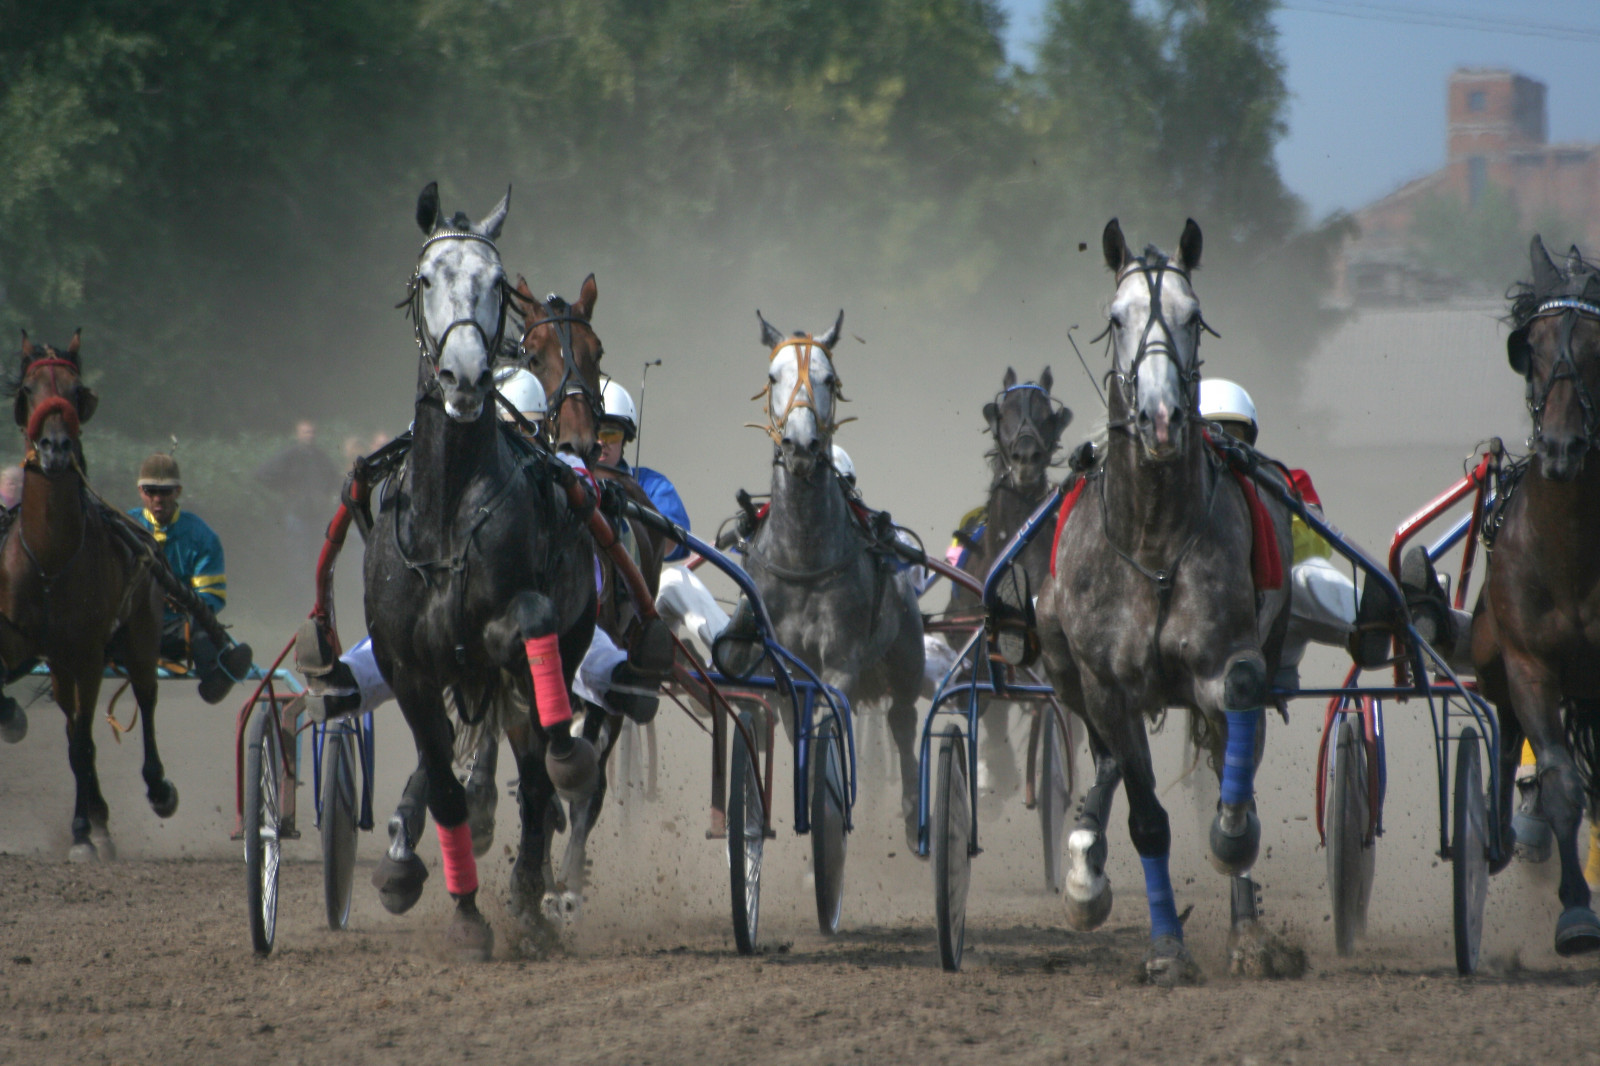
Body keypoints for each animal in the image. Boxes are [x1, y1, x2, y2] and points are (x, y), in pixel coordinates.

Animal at [0, 336, 178, 857]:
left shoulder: (86, 651)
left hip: (139, 635)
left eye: (77, 391)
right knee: (70, 719)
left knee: (144, 695)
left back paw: (150, 792)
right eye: (29, 389)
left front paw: (81, 832)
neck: (50, 558)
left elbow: (82, 741)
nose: (56, 448)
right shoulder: (17, 638)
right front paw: (12, 717)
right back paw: (98, 813)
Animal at [745, 307, 928, 845]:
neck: (804, 558)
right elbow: (794, 724)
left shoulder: (841, 661)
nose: (801, 444)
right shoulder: (784, 670)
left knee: (903, 719)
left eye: (829, 378)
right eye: (773, 376)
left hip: (906, 654)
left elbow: (833, 714)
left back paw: (912, 813)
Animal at [1036, 219, 1299, 985]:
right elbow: (1144, 815)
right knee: (1104, 763)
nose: (1159, 418)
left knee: (1232, 756)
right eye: (1115, 316)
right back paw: (1086, 870)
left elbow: (1233, 769)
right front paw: (1164, 949)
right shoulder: (1106, 685)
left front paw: (1233, 847)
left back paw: (1247, 926)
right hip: (1059, 658)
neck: (1153, 540)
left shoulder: (1228, 659)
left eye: (1194, 314)